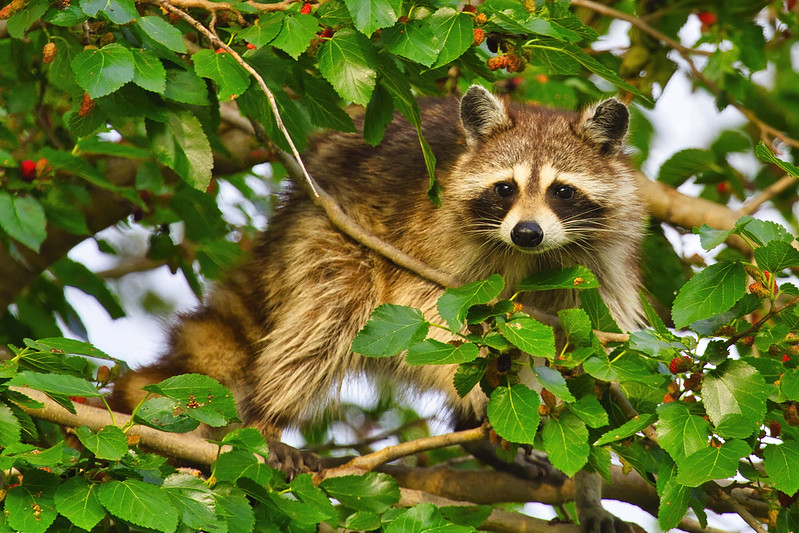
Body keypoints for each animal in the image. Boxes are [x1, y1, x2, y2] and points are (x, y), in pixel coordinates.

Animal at [112, 85, 648, 528]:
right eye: (505, 188)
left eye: (562, 190)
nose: (527, 231)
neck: (533, 257)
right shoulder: (433, 246)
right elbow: (428, 322)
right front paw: (479, 391)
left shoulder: (596, 274)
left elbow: (593, 376)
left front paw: (588, 491)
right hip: (330, 231)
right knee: (327, 316)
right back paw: (268, 417)